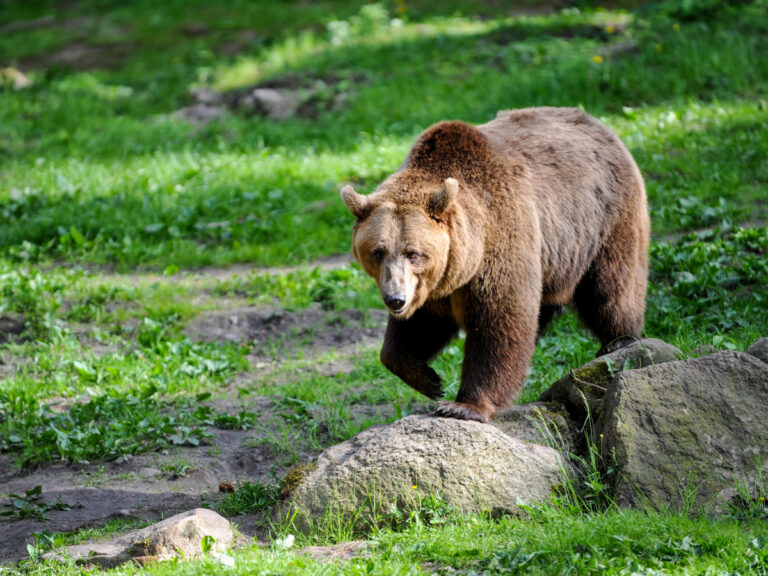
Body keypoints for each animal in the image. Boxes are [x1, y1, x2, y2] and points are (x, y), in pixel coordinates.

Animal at [342, 107, 648, 424]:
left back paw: (619, 340)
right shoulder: (433, 286)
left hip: (604, 220)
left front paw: (463, 405)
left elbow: (499, 322)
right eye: (378, 252)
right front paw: (429, 380)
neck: (465, 260)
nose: (395, 299)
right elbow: (416, 329)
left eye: (413, 253)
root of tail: (598, 123)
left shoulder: (500, 242)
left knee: (611, 286)